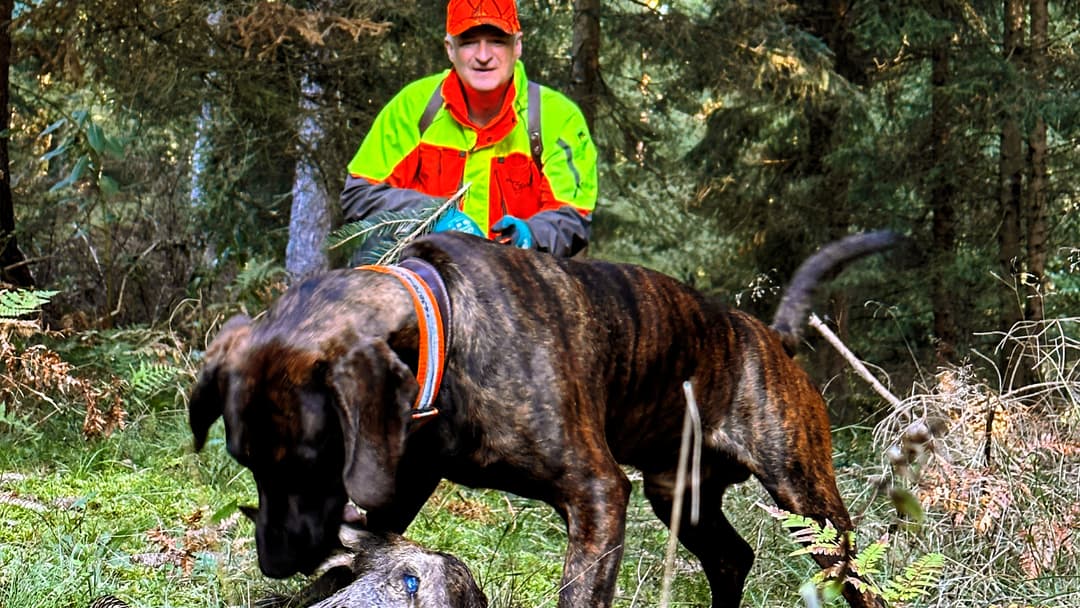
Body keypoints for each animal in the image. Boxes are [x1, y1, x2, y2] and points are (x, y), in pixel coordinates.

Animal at [187, 231, 894, 604]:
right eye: (246, 462)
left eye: (309, 460)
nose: (274, 562)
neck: (446, 326)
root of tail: (768, 337)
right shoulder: (396, 488)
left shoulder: (597, 495)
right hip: (679, 495)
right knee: (731, 558)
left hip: (803, 494)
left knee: (851, 570)